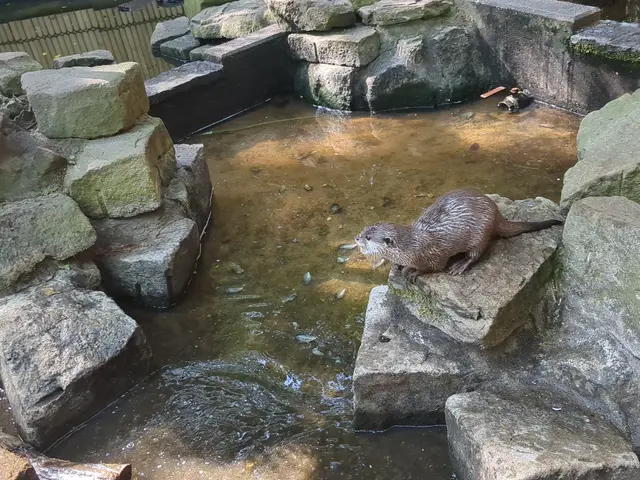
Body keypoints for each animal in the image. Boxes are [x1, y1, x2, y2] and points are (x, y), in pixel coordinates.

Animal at [354, 189, 562, 283]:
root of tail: (496, 212)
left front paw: (412, 271)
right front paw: (398, 266)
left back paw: (460, 265)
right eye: (364, 230)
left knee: (476, 254)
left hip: (480, 233)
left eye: (369, 237)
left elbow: (434, 267)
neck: (412, 246)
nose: (356, 238)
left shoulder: (434, 256)